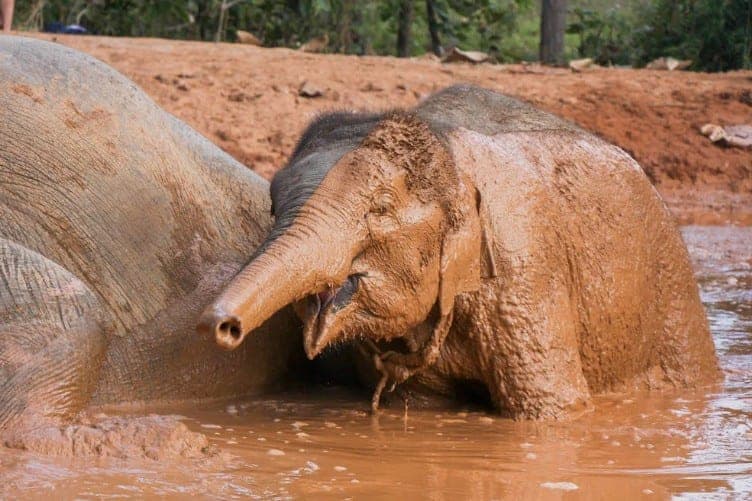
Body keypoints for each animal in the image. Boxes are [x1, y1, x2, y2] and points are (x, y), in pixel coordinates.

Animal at [200, 84, 720, 420]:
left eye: (380, 208)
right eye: (272, 206)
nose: (220, 326)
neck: (448, 146)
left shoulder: (526, 271)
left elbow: (554, 410)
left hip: (672, 289)